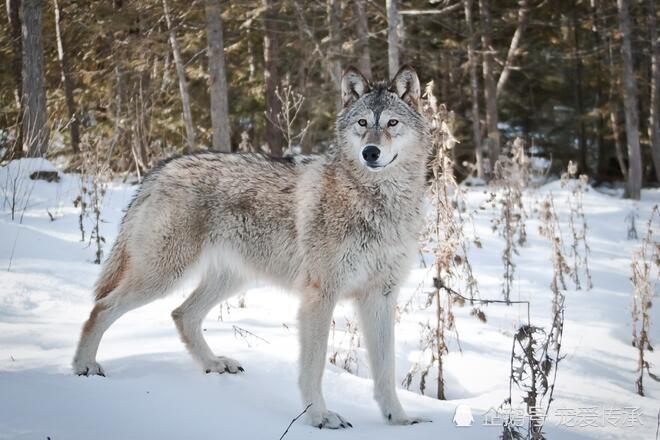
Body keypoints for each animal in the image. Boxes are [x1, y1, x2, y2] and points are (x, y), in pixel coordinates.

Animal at [73, 64, 434, 426]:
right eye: (362, 123)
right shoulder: (320, 296)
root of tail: (160, 170)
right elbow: (314, 367)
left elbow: (386, 370)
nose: (370, 152)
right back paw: (84, 366)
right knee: (101, 307)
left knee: (181, 314)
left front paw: (400, 419)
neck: (377, 201)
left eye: (391, 123)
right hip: (163, 277)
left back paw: (214, 364)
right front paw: (319, 416)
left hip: (230, 280)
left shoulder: (381, 297)